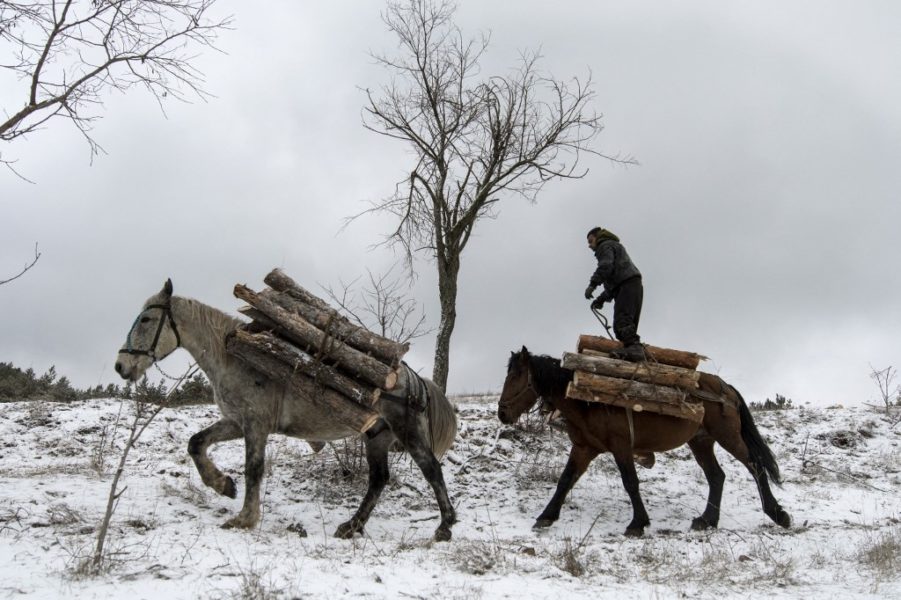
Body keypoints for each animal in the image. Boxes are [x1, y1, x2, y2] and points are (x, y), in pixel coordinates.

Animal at [114, 278, 458, 540]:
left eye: (146, 319)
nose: (121, 366)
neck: (234, 359)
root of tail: (412, 378)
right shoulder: (235, 422)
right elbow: (196, 443)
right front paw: (223, 485)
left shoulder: (255, 425)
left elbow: (253, 469)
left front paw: (245, 518)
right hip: (376, 437)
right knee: (378, 480)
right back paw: (351, 526)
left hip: (408, 432)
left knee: (431, 470)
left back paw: (444, 527)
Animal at [496, 344, 792, 536]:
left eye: (516, 376)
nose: (502, 413)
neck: (587, 402)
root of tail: (726, 388)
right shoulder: (584, 448)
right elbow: (565, 480)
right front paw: (545, 517)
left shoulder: (621, 447)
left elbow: (630, 482)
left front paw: (637, 524)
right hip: (701, 441)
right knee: (716, 476)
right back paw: (707, 520)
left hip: (727, 435)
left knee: (755, 466)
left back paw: (778, 514)